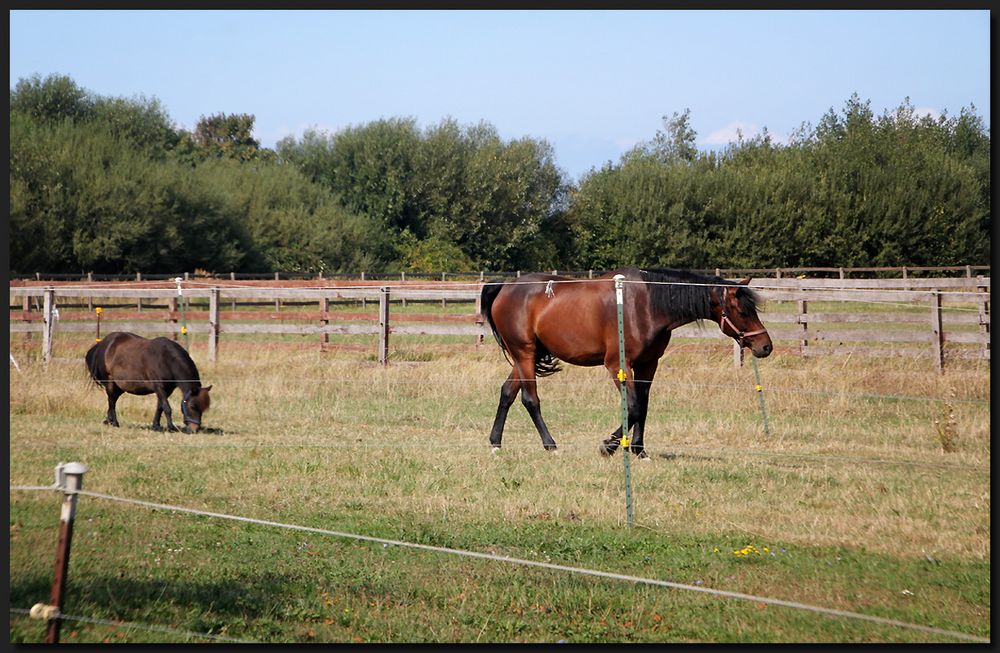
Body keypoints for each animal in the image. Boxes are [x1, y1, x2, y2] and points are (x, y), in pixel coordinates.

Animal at [482, 268, 772, 456]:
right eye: (743, 311)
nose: (765, 346)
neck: (645, 306)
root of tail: (505, 287)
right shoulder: (618, 366)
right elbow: (632, 407)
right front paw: (609, 445)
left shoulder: (648, 365)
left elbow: (643, 406)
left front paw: (639, 450)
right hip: (525, 354)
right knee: (530, 399)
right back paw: (550, 445)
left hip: (525, 358)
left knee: (507, 393)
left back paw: (495, 442)